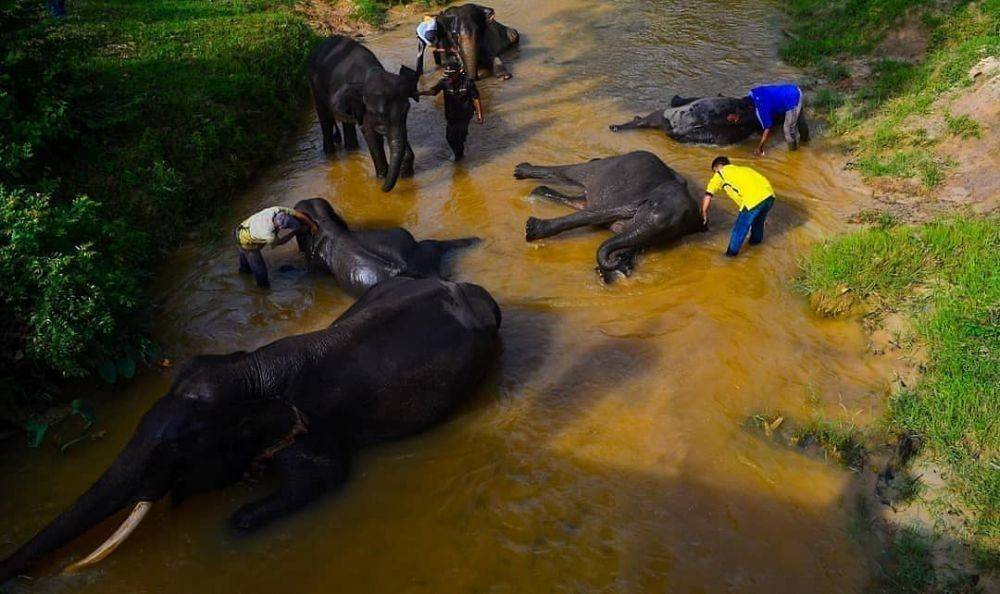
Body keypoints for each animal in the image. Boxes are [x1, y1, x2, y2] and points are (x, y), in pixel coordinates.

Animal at [0, 276, 500, 580]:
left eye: (178, 448)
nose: (16, 572)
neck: (250, 371)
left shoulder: (313, 427)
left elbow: (324, 478)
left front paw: (235, 520)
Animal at [292, 195, 480, 294]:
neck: (325, 222)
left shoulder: (315, 261)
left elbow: (310, 272)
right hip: (422, 250)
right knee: (435, 244)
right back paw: (476, 240)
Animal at [308, 35, 418, 192]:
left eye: (407, 110)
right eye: (380, 115)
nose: (383, 189)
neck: (370, 73)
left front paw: (405, 173)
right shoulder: (365, 110)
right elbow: (371, 135)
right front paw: (382, 177)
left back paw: (352, 150)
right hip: (314, 85)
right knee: (325, 119)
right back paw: (330, 155)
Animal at [516, 151, 704, 284]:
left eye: (673, 228)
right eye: (651, 204)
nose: (615, 261)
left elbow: (636, 243)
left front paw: (612, 270)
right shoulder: (630, 199)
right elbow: (595, 214)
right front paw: (530, 230)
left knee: (579, 200)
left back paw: (537, 192)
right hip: (603, 167)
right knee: (571, 172)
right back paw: (521, 170)